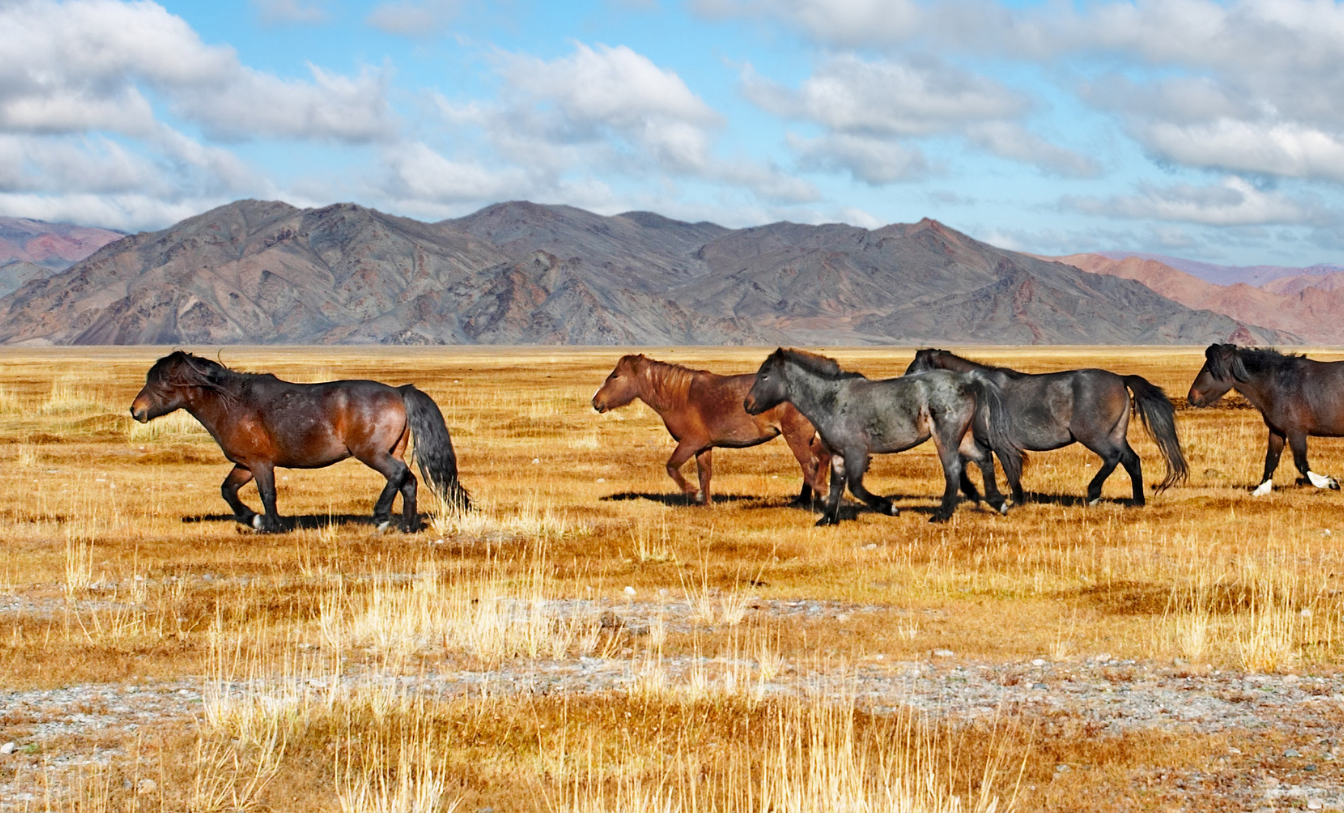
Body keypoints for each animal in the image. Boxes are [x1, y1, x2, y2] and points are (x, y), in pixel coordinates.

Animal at [131, 349, 467, 532]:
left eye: (160, 382)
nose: (136, 410)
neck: (234, 403)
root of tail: (399, 391)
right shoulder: (245, 464)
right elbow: (228, 491)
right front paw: (252, 519)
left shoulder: (260, 463)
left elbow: (268, 494)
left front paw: (270, 525)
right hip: (391, 450)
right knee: (408, 481)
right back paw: (407, 526)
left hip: (372, 453)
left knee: (398, 475)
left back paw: (382, 517)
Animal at [591, 354, 822, 505]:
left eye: (615, 376)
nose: (596, 401)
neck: (680, 397)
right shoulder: (704, 447)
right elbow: (705, 474)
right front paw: (707, 503)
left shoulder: (690, 443)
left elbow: (672, 467)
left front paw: (695, 495)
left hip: (796, 436)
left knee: (810, 464)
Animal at [747, 349, 1016, 526]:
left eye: (765, 375)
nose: (746, 404)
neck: (831, 400)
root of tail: (968, 379)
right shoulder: (838, 454)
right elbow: (837, 485)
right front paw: (828, 519)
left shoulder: (856, 452)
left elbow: (855, 486)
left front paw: (890, 508)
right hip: (964, 436)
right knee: (984, 459)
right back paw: (998, 503)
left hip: (946, 438)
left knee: (953, 470)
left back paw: (941, 515)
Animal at [903, 346, 1188, 505]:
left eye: (915, 368)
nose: (901, 385)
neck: (979, 390)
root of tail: (1120, 378)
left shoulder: (999, 443)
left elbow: (1010, 470)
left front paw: (1018, 501)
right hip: (1116, 433)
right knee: (1131, 460)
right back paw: (1137, 501)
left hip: (1094, 436)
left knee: (1113, 457)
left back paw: (1093, 494)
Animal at [1193, 342, 1338, 494]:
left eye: (1208, 369)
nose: (1192, 397)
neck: (1280, 384)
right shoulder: (1277, 431)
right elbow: (1271, 459)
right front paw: (1261, 489)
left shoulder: (1296, 432)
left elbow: (1301, 463)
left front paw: (1330, 482)